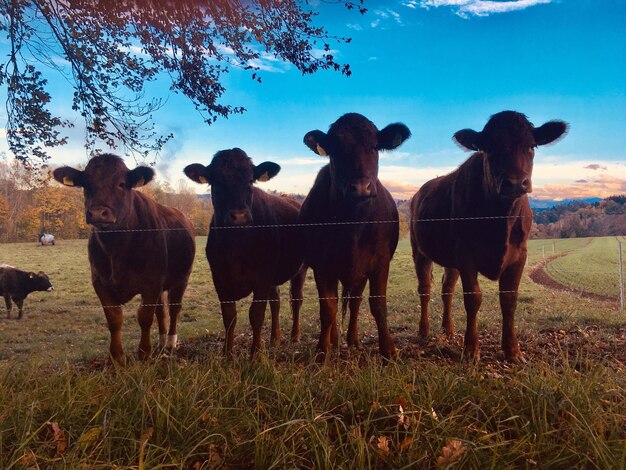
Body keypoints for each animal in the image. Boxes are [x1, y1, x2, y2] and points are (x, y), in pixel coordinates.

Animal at [53, 154, 195, 364]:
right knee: (162, 311)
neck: (116, 248)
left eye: (121, 184)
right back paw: (161, 342)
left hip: (182, 278)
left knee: (174, 308)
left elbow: (144, 317)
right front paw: (117, 358)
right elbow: (114, 318)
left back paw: (170, 343)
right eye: (86, 183)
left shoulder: (152, 283)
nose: (98, 213)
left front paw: (144, 353)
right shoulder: (100, 282)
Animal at [182, 149, 306, 358]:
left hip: (301, 268)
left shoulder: (262, 277)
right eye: (217, 182)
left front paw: (256, 354)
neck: (237, 245)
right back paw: (274, 338)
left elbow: (256, 314)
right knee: (276, 301)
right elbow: (229, 315)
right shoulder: (220, 278)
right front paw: (228, 355)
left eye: (250, 181)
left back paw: (295, 336)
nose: (239, 216)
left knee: (296, 299)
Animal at [298, 112, 410, 362]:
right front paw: (322, 352)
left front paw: (388, 351)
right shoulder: (322, 266)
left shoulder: (380, 262)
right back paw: (334, 340)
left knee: (356, 302)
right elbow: (328, 308)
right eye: (336, 149)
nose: (360, 187)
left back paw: (353, 340)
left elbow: (377, 304)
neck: (353, 226)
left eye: (375, 146)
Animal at [410, 112, 564, 362]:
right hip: (419, 251)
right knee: (425, 288)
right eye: (489, 148)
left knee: (446, 288)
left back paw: (448, 329)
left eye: (531, 145)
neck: (499, 219)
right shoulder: (466, 254)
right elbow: (473, 298)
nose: (515, 182)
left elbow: (509, 299)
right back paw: (424, 331)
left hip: (451, 260)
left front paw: (512, 350)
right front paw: (471, 349)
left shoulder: (519, 254)